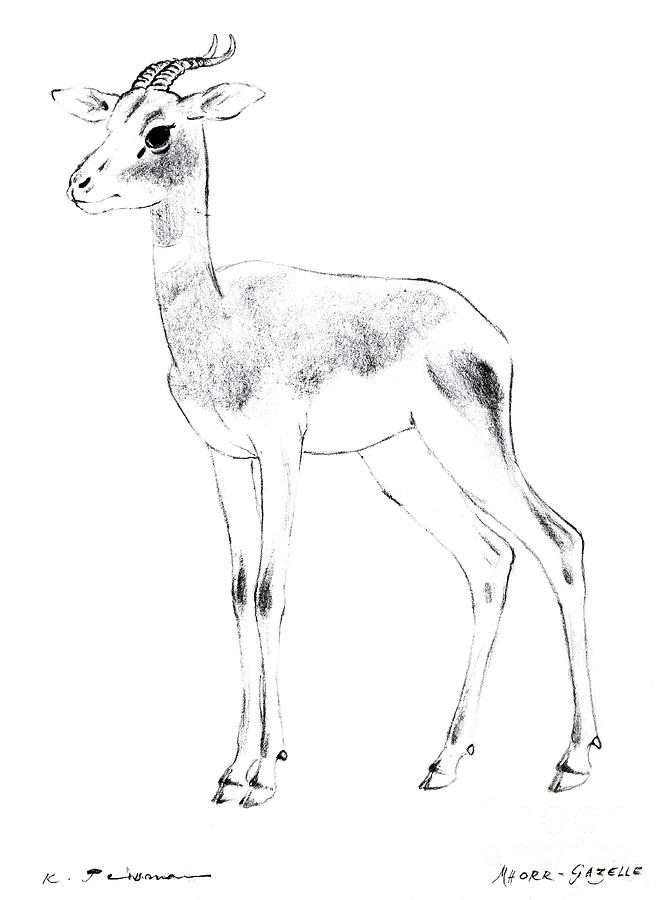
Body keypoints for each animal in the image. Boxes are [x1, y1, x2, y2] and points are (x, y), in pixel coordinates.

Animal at [53, 34, 600, 808]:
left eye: (159, 130)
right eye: (107, 118)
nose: (80, 184)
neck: (218, 321)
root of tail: (486, 331)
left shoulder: (283, 451)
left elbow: (270, 590)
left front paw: (265, 771)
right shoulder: (226, 458)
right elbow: (236, 591)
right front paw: (231, 767)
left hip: (473, 449)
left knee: (560, 542)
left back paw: (574, 760)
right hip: (403, 465)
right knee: (491, 560)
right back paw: (445, 760)